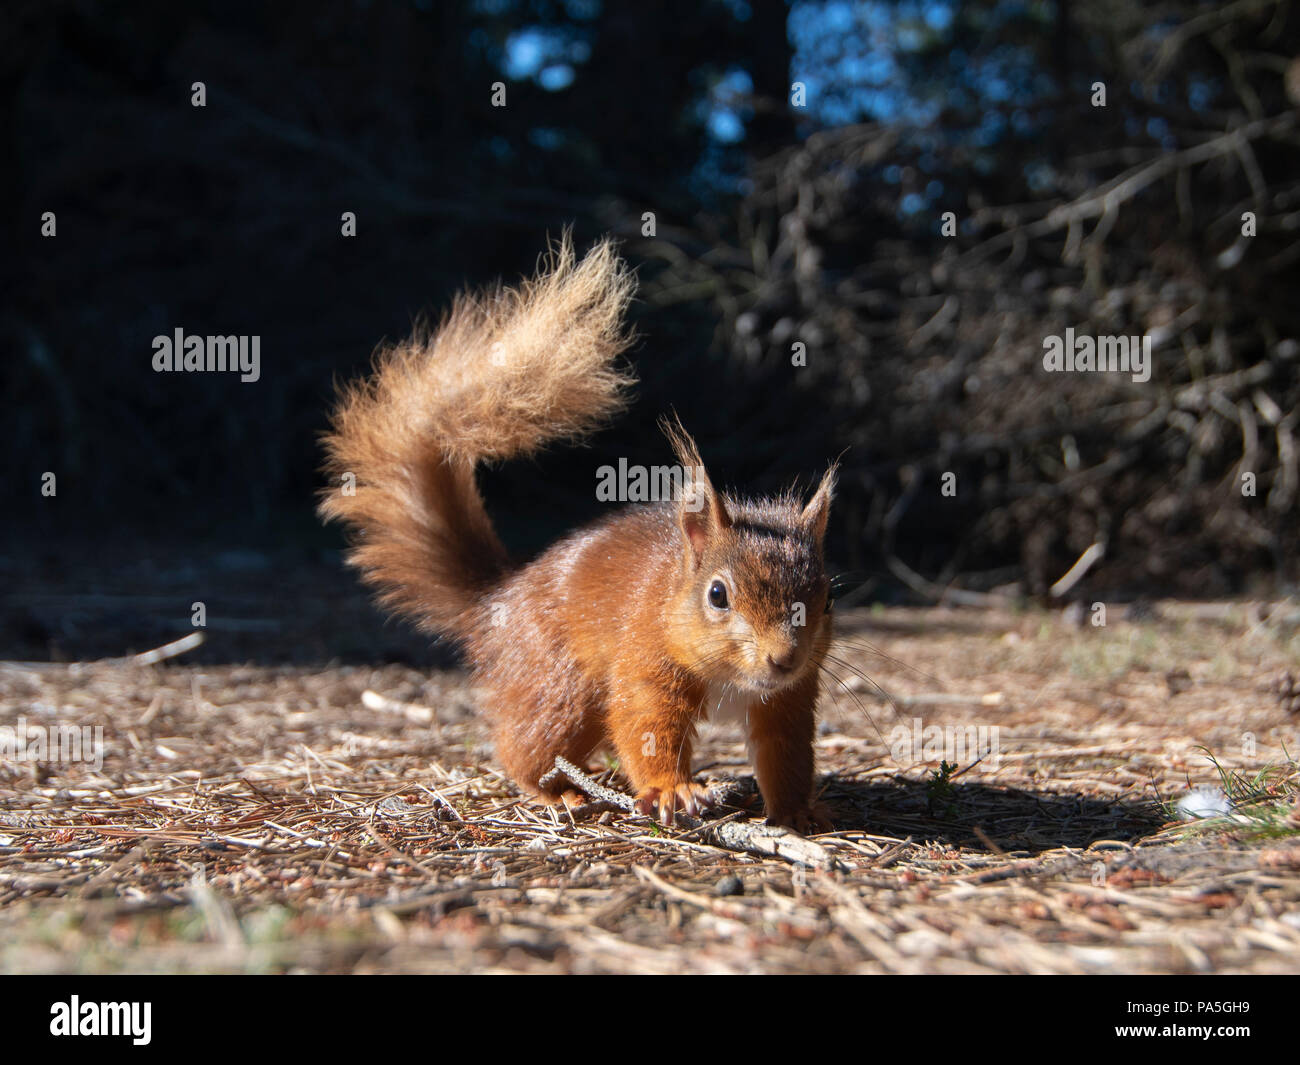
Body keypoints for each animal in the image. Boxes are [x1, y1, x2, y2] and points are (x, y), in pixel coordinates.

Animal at [320, 236, 836, 832]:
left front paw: (798, 812)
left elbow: (785, 752)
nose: (783, 659)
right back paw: (561, 792)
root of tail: (497, 601)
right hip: (560, 687)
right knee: (525, 748)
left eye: (827, 597)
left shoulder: (789, 697)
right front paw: (673, 790)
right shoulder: (645, 662)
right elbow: (646, 724)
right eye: (717, 595)